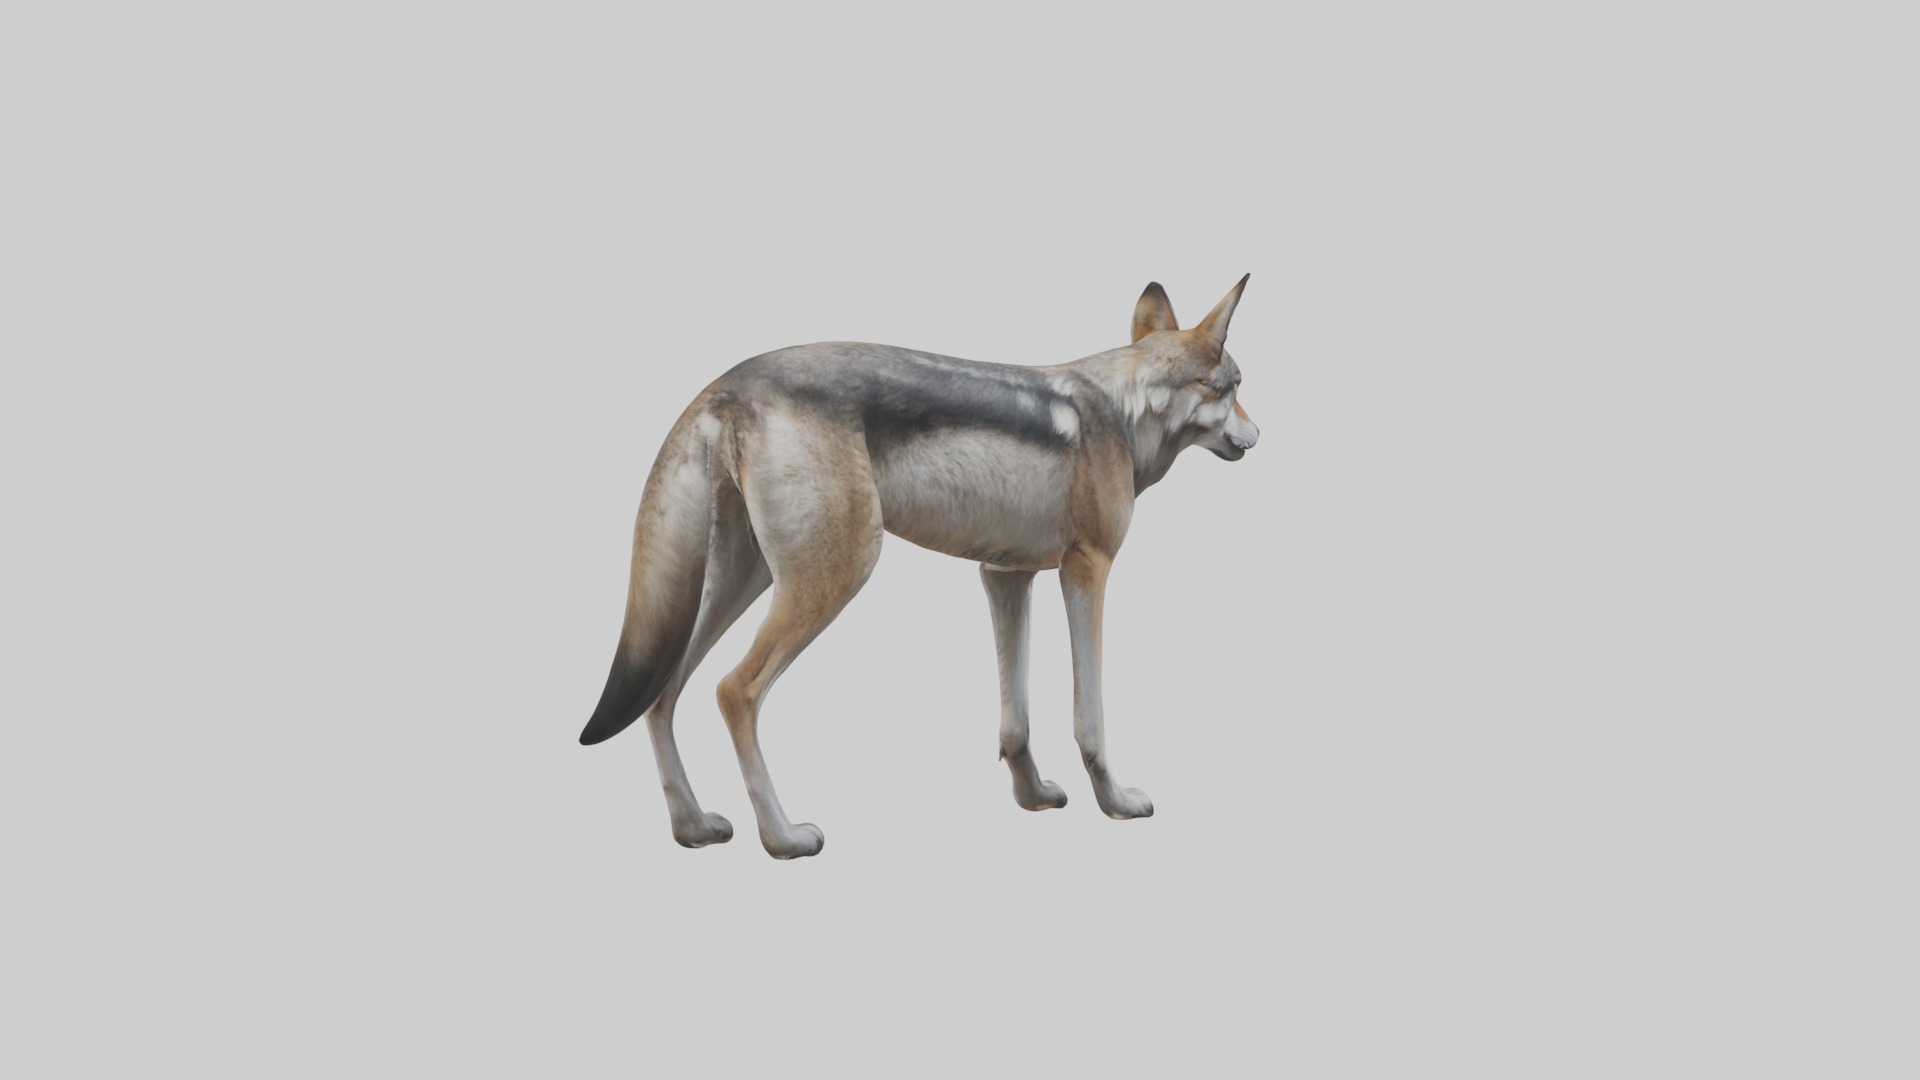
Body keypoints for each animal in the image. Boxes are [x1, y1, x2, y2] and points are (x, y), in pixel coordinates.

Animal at [579, 276, 1262, 858]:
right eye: (1233, 386)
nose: (1259, 435)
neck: (1121, 411)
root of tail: (728, 382)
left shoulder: (1006, 576)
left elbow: (1015, 722)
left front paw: (1032, 798)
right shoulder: (1086, 572)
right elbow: (1088, 718)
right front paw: (1115, 802)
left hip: (735, 590)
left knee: (662, 695)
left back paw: (693, 827)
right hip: (834, 577)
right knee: (733, 690)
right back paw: (782, 837)